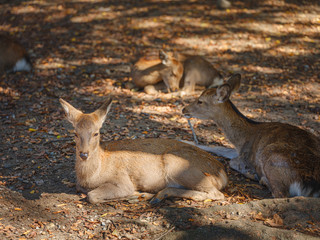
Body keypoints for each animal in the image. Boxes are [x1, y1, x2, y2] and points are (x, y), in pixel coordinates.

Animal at [58, 96, 226, 203]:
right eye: (75, 133)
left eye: (96, 133)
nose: (84, 154)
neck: (91, 176)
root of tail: (222, 174)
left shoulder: (122, 180)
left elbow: (92, 196)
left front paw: (133, 194)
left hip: (179, 166)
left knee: (217, 194)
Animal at [182, 74, 320, 198]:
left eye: (200, 101)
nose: (184, 109)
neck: (242, 139)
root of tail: (312, 185)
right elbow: (217, 148)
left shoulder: (246, 156)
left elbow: (232, 161)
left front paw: (250, 172)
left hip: (272, 155)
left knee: (281, 194)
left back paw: (261, 179)